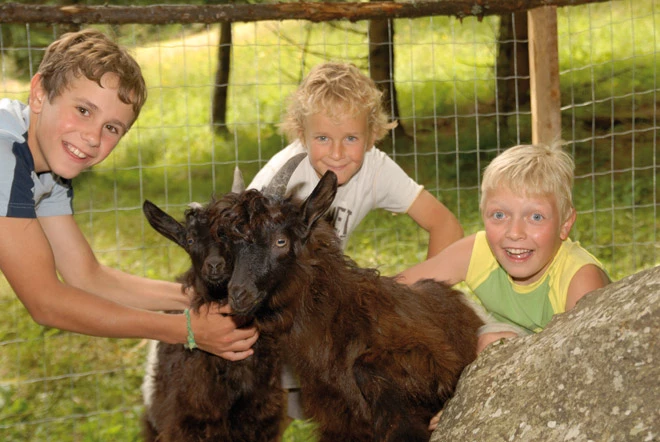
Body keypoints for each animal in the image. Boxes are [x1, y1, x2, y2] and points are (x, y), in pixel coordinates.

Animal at [211, 170, 484, 442]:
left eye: (281, 241)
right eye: (231, 246)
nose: (238, 295)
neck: (343, 322)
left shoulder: (432, 365)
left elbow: (367, 370)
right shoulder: (338, 423)